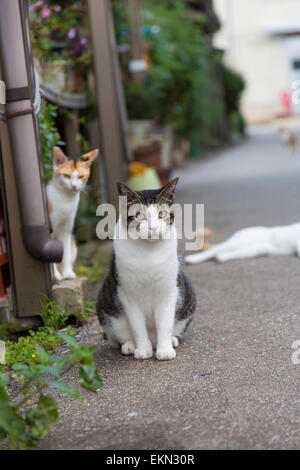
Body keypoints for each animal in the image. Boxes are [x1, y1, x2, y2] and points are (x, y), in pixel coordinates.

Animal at [46, 146, 98, 280]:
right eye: (66, 176)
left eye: (81, 177)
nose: (74, 186)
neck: (65, 199)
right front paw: (56, 276)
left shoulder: (67, 227)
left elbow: (66, 252)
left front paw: (68, 273)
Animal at [95, 178, 195, 362]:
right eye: (138, 215)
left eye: (162, 214)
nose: (153, 228)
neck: (149, 252)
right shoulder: (127, 294)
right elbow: (137, 326)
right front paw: (142, 350)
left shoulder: (169, 291)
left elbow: (165, 323)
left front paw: (165, 350)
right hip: (106, 309)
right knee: (117, 336)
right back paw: (129, 345)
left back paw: (172, 340)